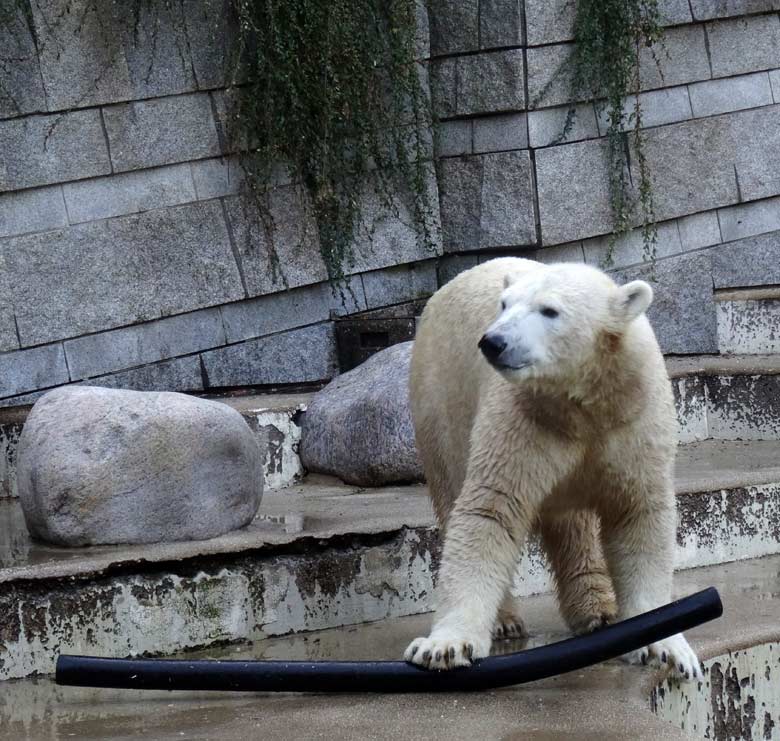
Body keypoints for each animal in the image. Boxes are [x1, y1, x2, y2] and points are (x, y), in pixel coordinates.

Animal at [406, 258, 696, 680]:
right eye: (504, 304)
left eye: (549, 310)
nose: (493, 341)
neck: (582, 402)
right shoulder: (525, 419)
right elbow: (490, 511)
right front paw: (445, 646)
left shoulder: (633, 420)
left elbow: (637, 513)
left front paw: (667, 647)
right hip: (441, 401)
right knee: (452, 486)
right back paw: (505, 619)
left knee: (575, 526)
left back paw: (600, 610)